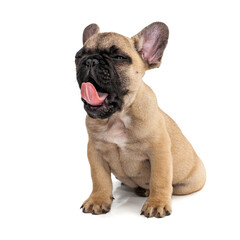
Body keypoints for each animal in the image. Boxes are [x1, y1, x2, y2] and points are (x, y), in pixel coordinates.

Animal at [75, 22, 206, 218]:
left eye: (119, 57)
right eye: (78, 56)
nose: (90, 61)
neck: (117, 117)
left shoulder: (159, 152)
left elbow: (159, 179)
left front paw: (157, 203)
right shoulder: (95, 152)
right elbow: (99, 179)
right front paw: (98, 200)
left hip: (188, 184)